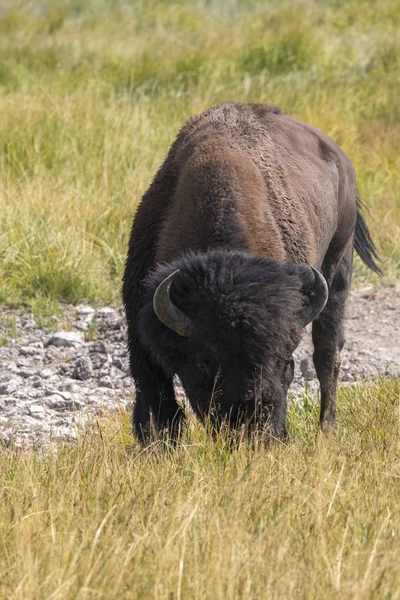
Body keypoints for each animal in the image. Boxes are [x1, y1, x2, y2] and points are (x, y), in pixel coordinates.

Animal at [122, 101, 382, 442]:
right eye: (207, 361)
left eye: (280, 358)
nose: (250, 419)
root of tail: (343, 161)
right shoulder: (140, 316)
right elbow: (153, 386)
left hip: (338, 267)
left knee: (328, 354)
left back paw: (326, 430)